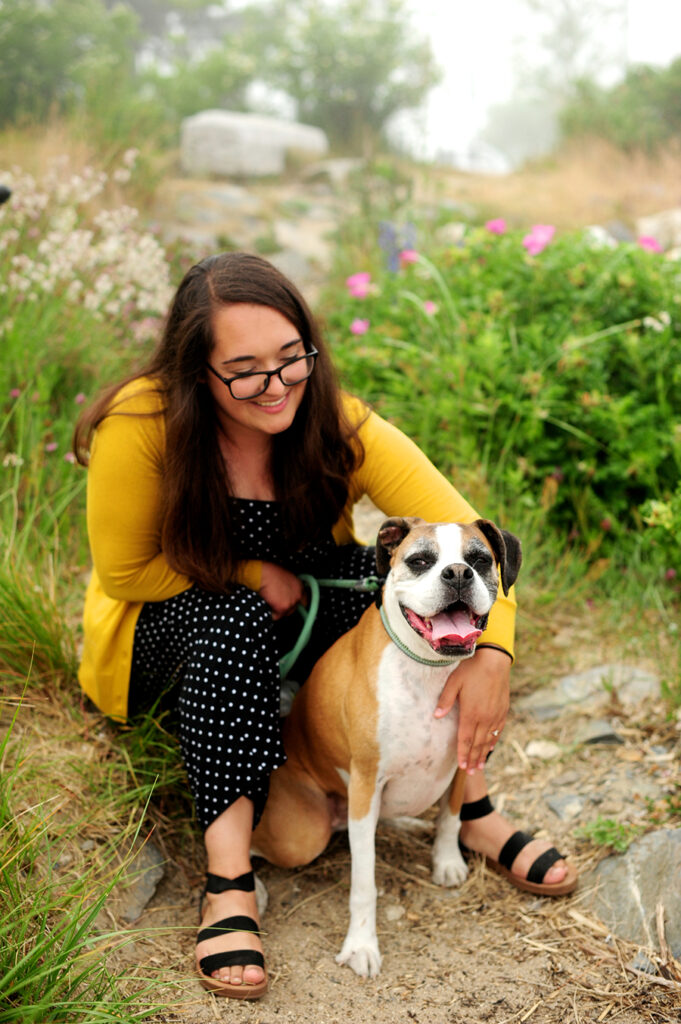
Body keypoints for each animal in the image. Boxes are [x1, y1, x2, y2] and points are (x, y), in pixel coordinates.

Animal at [249, 516, 520, 978]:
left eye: (480, 559)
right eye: (421, 561)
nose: (458, 573)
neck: (427, 670)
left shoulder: (462, 760)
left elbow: (451, 817)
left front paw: (446, 860)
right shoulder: (364, 781)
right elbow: (364, 883)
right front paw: (361, 944)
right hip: (303, 834)